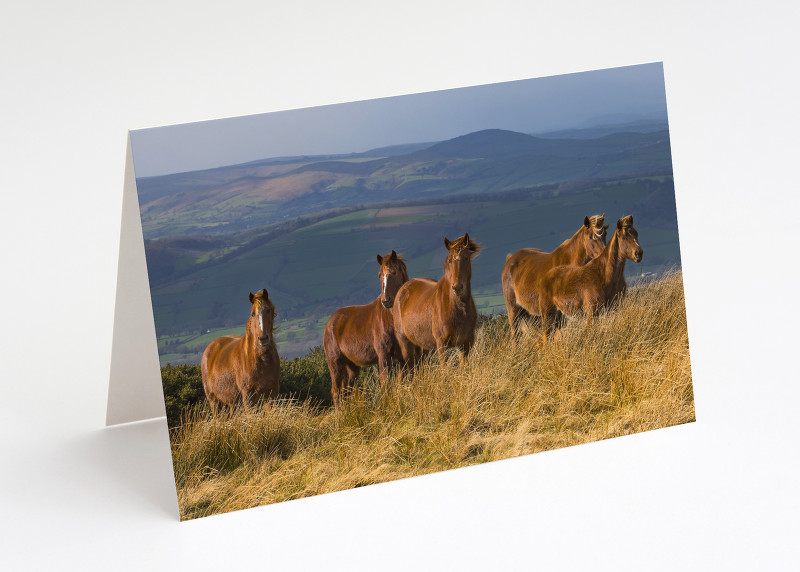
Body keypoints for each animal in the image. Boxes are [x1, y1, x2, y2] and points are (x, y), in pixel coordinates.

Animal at [322, 251, 410, 406]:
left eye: (394, 272)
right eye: (379, 275)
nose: (386, 301)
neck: (391, 318)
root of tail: (329, 323)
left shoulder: (401, 356)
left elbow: (400, 383)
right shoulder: (383, 355)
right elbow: (385, 384)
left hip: (352, 367)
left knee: (346, 392)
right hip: (335, 363)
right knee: (336, 392)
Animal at [394, 235, 482, 368]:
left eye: (466, 258)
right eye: (450, 260)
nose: (457, 287)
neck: (457, 307)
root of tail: (403, 289)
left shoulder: (466, 343)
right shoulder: (441, 345)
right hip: (404, 342)